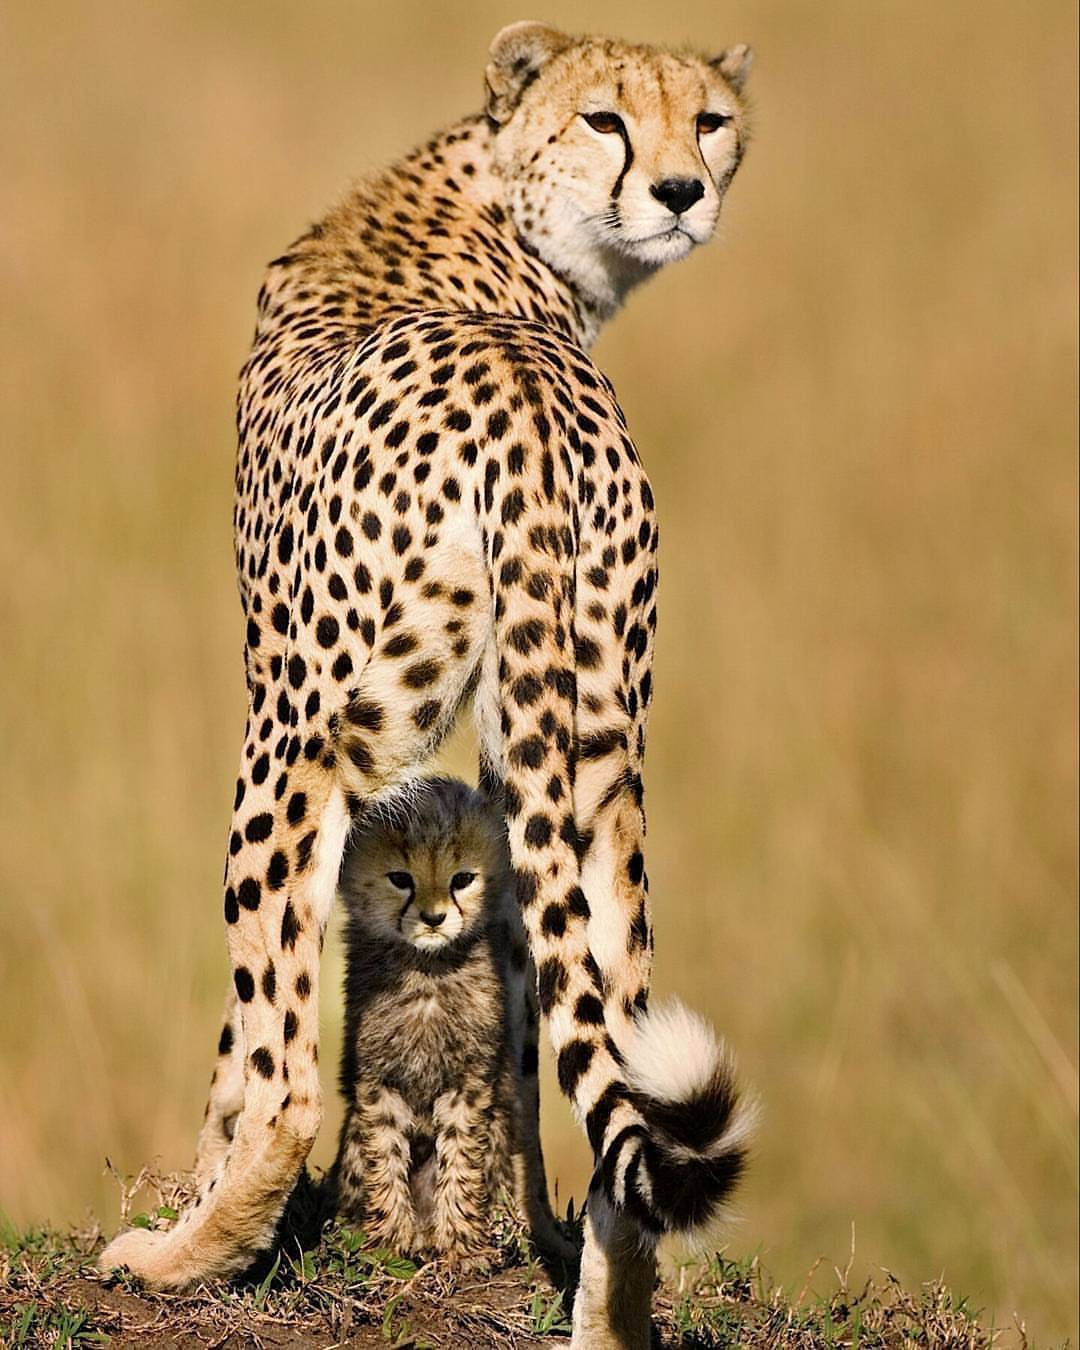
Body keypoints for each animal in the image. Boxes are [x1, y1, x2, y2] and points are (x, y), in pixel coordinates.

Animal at [103, 23, 761, 1350]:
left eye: (709, 120)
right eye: (608, 119)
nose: (681, 190)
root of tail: (521, 395)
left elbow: (244, 1044)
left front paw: (194, 1204)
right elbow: (522, 1011)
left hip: (306, 732)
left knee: (289, 1071)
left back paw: (180, 1259)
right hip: (596, 749)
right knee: (614, 1028)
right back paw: (607, 1313)